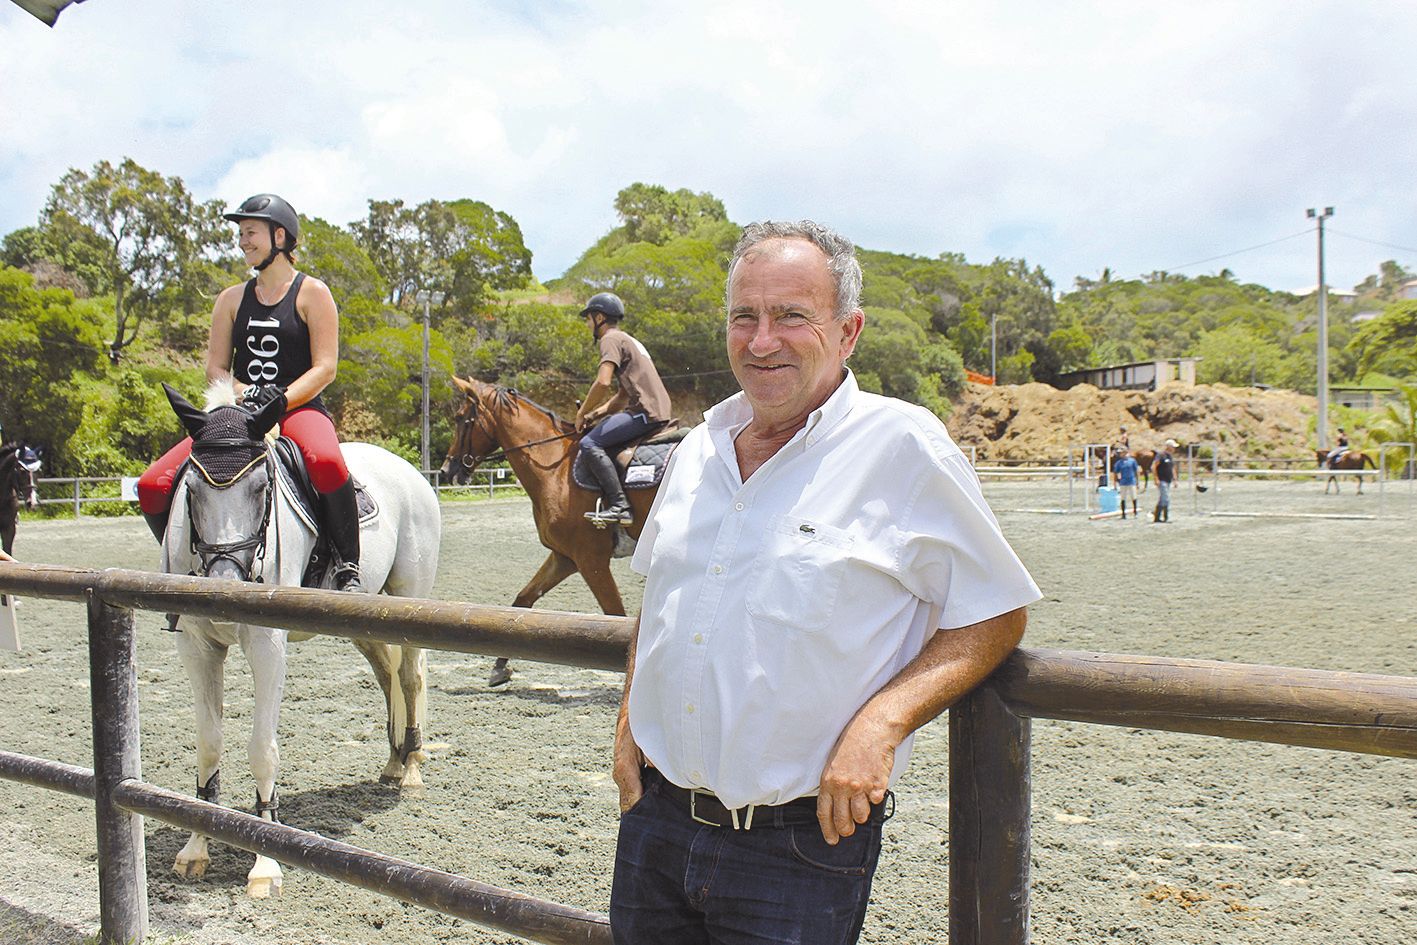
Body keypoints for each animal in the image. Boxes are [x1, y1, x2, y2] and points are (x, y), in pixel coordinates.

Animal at [159, 379, 442, 901]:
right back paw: (393, 763)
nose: (226, 590)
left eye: (261, 487)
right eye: (191, 489)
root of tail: (405, 468)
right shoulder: (196, 648)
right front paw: (195, 848)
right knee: (387, 672)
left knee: (411, 677)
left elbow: (261, 748)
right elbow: (208, 743)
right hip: (363, 621)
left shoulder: (267, 644)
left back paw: (411, 768)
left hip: (409, 598)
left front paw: (265, 861)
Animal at [442, 376, 663, 688]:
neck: (556, 469)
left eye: (461, 418)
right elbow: (522, 602)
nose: (446, 470)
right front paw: (499, 666)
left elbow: (616, 617)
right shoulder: (564, 557)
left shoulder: (591, 560)